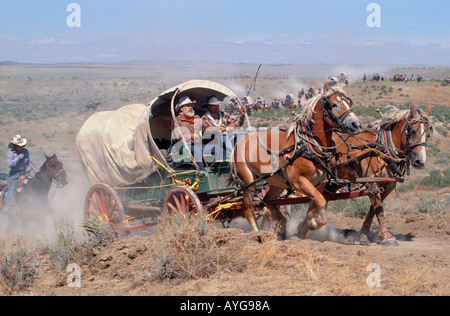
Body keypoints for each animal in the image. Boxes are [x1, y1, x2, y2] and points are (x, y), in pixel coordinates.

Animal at [230, 87, 364, 239]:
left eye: (348, 101)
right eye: (333, 104)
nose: (356, 124)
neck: (309, 145)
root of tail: (239, 142)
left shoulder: (319, 184)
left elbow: (314, 206)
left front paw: (302, 229)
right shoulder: (299, 181)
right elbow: (321, 202)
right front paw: (315, 224)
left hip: (277, 182)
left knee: (268, 200)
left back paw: (281, 227)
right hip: (248, 182)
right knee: (248, 208)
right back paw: (256, 234)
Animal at [330, 105, 432, 246]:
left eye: (428, 133)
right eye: (412, 131)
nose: (420, 161)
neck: (383, 147)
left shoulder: (387, 186)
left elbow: (374, 209)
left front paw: (364, 234)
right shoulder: (372, 183)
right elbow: (379, 210)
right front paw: (387, 236)